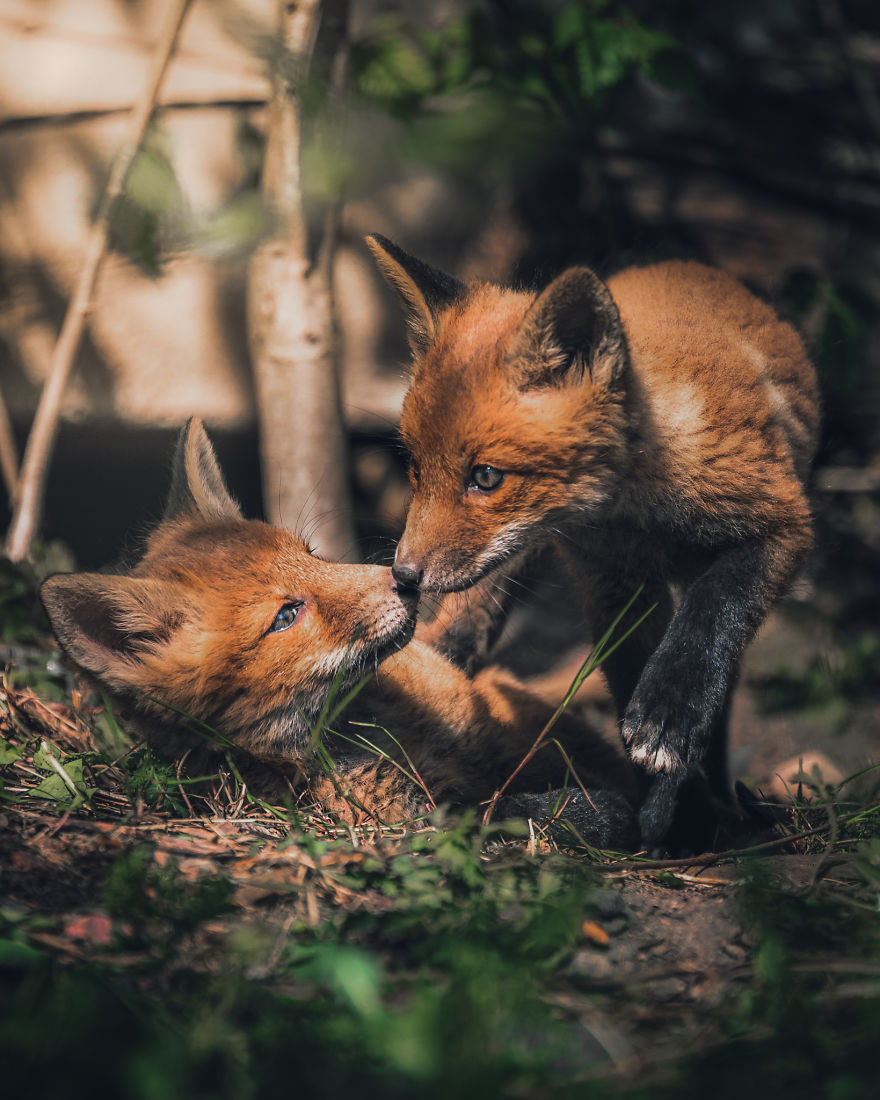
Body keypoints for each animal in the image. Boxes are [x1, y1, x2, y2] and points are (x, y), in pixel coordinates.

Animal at [39, 418, 636, 845]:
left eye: (310, 555)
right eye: (286, 616)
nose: (405, 581)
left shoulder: (497, 724)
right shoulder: (415, 813)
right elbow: (525, 814)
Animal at [367, 235, 820, 850]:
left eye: (486, 477)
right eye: (414, 468)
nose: (404, 576)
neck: (640, 505)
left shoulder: (780, 519)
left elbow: (713, 612)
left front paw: (672, 725)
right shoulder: (611, 580)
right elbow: (627, 673)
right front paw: (679, 814)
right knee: (467, 628)